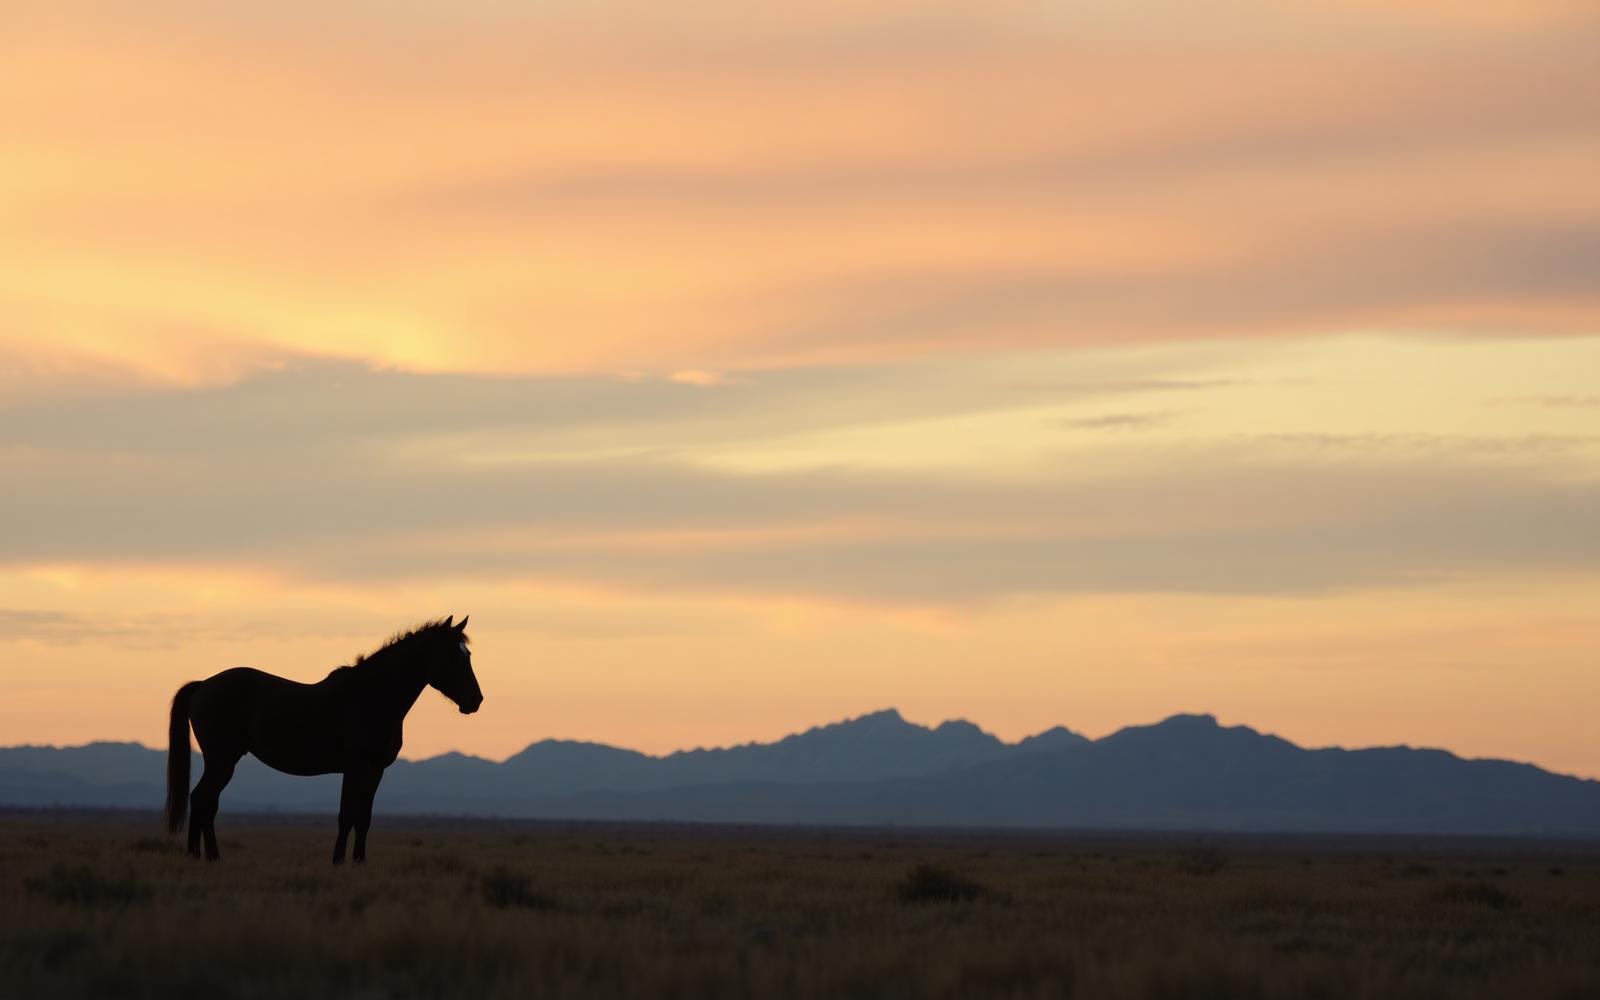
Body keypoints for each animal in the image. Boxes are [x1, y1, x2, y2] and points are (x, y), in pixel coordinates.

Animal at [164, 615, 483, 864]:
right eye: (452, 656)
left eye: (467, 655)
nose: (475, 700)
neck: (372, 698)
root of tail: (203, 685)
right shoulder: (355, 768)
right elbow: (346, 815)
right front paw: (338, 862)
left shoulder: (376, 770)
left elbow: (364, 818)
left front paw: (359, 862)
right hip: (222, 759)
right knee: (201, 799)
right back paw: (199, 856)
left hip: (225, 761)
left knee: (207, 802)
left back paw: (209, 857)